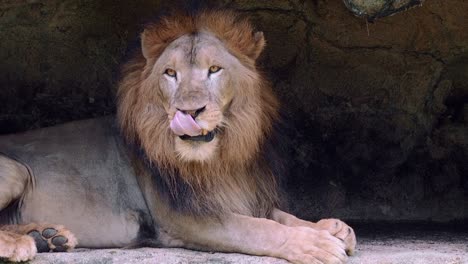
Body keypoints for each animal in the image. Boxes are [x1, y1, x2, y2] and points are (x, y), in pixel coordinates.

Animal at [0, 9, 356, 262]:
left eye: (214, 69)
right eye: (170, 73)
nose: (189, 111)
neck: (219, 162)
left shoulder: (243, 194)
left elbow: (280, 215)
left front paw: (332, 228)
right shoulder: (186, 217)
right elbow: (258, 228)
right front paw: (315, 244)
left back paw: (47, 237)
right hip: (16, 170)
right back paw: (21, 245)